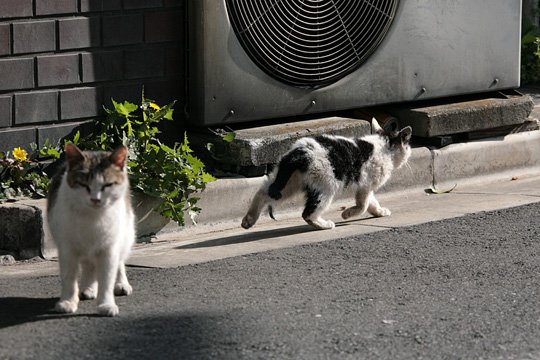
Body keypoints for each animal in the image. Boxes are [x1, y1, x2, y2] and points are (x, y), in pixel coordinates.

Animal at [47, 144, 135, 318]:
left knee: (119, 261)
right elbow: (69, 277)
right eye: (84, 185)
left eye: (107, 185)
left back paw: (121, 283)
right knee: (89, 265)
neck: (93, 217)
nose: (95, 199)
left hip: (126, 232)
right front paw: (68, 301)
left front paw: (106, 304)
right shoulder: (67, 248)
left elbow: (107, 278)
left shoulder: (109, 249)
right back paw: (88, 288)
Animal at [242, 119, 414, 231]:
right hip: (325, 187)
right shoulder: (366, 184)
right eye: (407, 146)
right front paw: (347, 214)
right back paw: (324, 225)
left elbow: (372, 202)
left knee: (263, 193)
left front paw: (379, 212)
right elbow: (363, 205)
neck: (385, 144)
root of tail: (299, 153)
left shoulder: (366, 186)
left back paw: (248, 220)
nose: (409, 154)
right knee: (308, 214)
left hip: (287, 182)